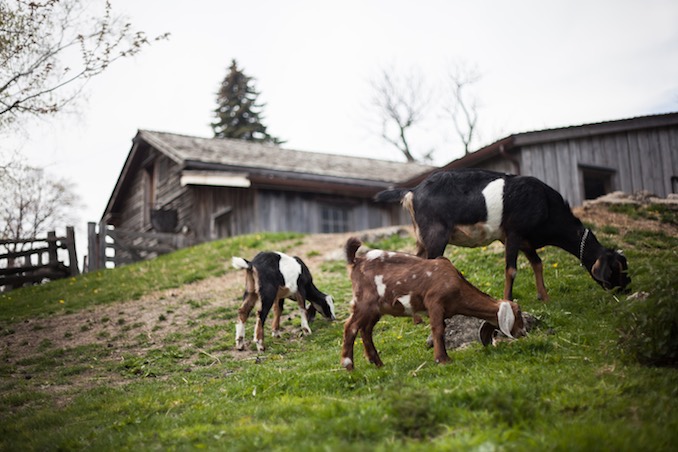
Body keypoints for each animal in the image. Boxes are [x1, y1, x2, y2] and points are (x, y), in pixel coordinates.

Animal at [342, 237, 528, 370]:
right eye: (518, 313)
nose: (523, 332)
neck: (457, 284)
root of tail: (356, 261)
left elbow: (442, 330)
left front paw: (443, 357)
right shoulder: (435, 302)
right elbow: (438, 329)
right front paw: (442, 359)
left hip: (376, 309)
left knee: (365, 330)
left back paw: (378, 363)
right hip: (364, 302)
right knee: (350, 327)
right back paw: (349, 365)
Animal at [374, 169, 636, 300]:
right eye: (616, 269)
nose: (627, 287)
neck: (547, 205)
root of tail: (413, 191)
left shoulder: (526, 240)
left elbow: (537, 263)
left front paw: (544, 297)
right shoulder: (514, 233)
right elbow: (511, 269)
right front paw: (508, 300)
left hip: (422, 238)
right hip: (435, 235)